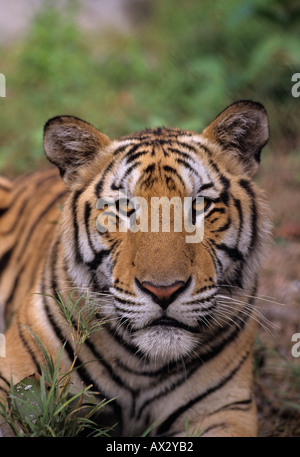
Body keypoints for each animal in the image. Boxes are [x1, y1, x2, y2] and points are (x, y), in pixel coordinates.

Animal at [0, 100, 272, 438]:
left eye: (199, 206)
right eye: (124, 208)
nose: (164, 290)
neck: (143, 368)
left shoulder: (226, 409)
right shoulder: (15, 380)